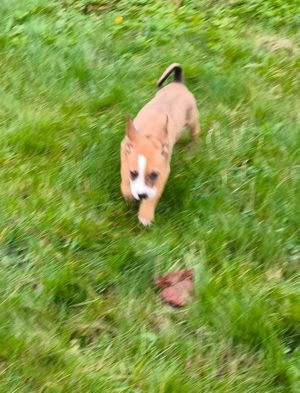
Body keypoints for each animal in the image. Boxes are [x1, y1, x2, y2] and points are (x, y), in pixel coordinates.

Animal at [119, 62, 199, 225]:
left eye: (154, 174)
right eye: (133, 173)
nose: (141, 195)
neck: (149, 135)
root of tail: (178, 83)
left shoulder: (163, 172)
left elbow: (154, 194)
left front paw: (145, 215)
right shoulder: (124, 154)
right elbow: (124, 176)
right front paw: (128, 193)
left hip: (192, 119)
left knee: (195, 134)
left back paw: (192, 151)